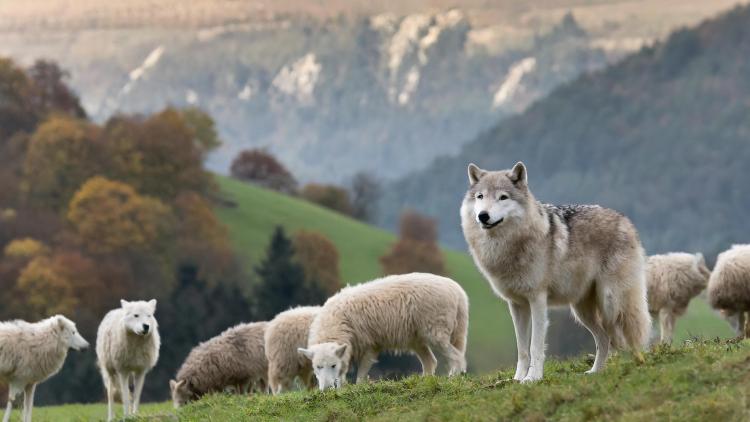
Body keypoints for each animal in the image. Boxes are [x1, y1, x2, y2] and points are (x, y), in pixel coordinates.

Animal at [296, 272, 468, 390]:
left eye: (332, 365)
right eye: (318, 367)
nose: (325, 390)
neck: (336, 323)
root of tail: (458, 292)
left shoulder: (369, 345)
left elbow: (361, 373)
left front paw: (358, 388)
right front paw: (341, 389)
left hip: (435, 331)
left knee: (456, 356)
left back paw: (453, 378)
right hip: (418, 338)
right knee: (431, 361)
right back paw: (424, 381)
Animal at [462, 162, 648, 382]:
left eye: (503, 197)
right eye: (480, 196)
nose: (483, 215)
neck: (508, 247)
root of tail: (625, 220)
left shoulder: (537, 300)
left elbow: (535, 347)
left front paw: (532, 379)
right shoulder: (516, 305)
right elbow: (522, 350)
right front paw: (517, 379)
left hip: (611, 302)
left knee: (631, 331)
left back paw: (639, 364)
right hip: (582, 312)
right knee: (604, 339)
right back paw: (595, 372)